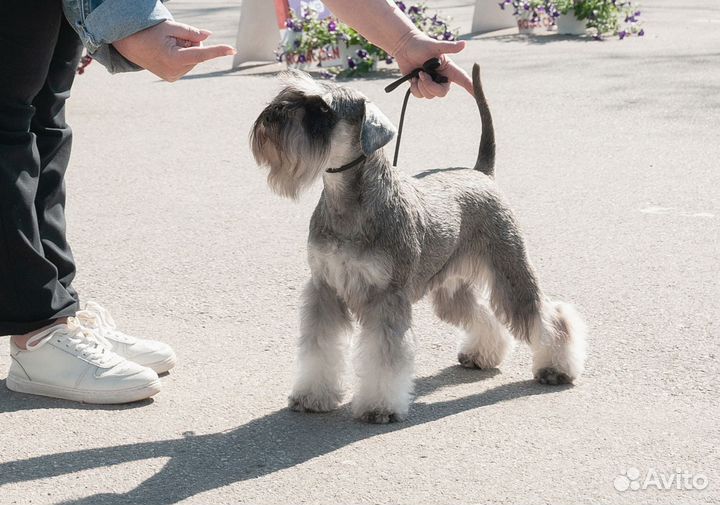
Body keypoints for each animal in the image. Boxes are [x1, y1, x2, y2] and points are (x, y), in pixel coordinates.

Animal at [250, 65, 588, 424]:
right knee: (483, 314)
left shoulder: (386, 297)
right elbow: (318, 348)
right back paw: (482, 353)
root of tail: (481, 173)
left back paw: (557, 368)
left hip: (510, 270)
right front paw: (312, 395)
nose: (272, 115)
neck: (347, 203)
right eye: (290, 94)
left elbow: (385, 357)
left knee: (546, 315)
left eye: (323, 109)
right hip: (451, 289)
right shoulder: (324, 290)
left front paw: (380, 407)